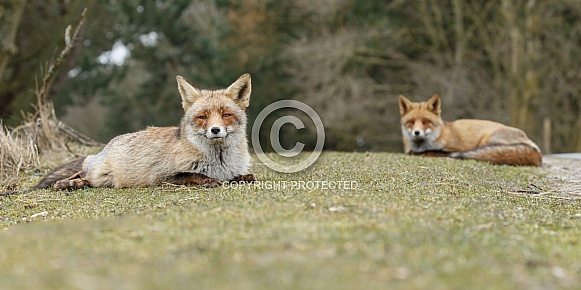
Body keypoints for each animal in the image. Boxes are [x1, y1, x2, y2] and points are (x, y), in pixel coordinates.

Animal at [34, 73, 255, 189]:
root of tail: (107, 146)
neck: (219, 161)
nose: (215, 130)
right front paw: (208, 180)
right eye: (202, 117)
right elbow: (192, 175)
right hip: (100, 174)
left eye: (226, 115)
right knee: (82, 174)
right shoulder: (163, 177)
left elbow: (242, 176)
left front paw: (241, 178)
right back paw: (67, 184)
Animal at [396, 94, 540, 167]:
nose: (417, 132)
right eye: (411, 122)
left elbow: (433, 152)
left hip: (486, 139)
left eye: (426, 121)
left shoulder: (453, 148)